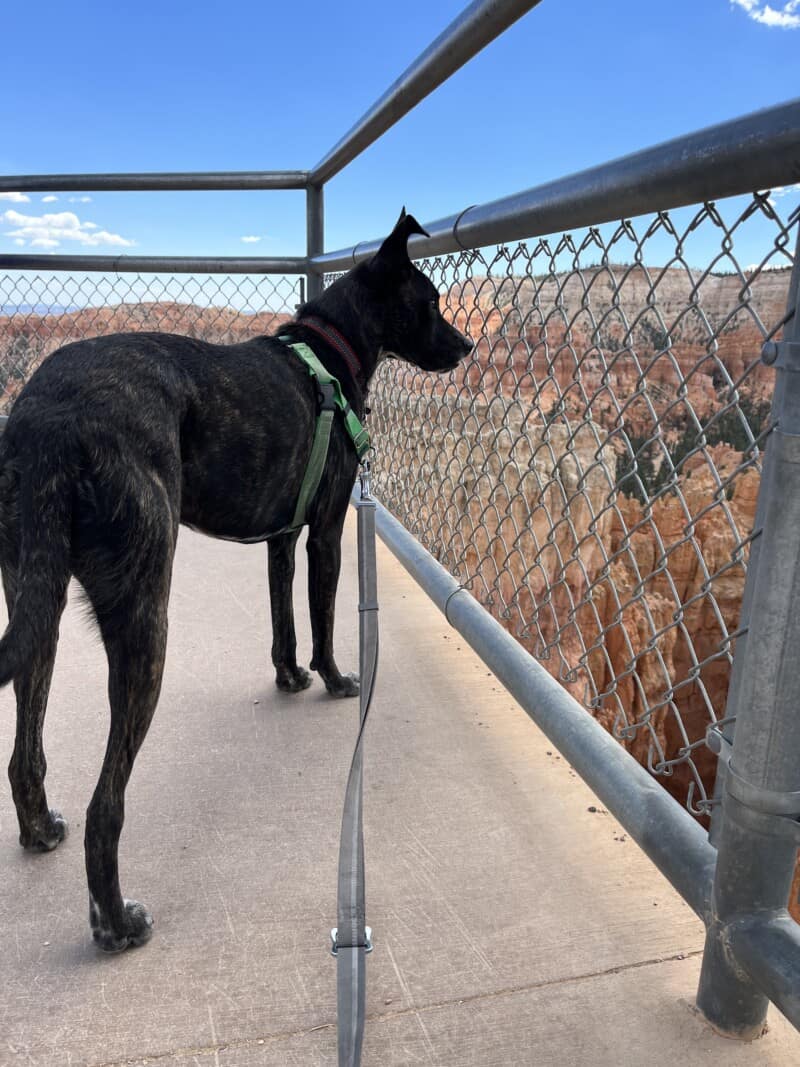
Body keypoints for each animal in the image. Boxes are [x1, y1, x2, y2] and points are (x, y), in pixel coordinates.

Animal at [0, 208, 473, 951]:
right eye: (429, 302)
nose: (469, 346)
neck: (328, 349)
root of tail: (47, 424)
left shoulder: (280, 537)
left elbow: (283, 620)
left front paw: (289, 677)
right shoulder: (326, 531)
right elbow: (323, 616)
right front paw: (335, 679)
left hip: (32, 599)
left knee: (24, 753)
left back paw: (41, 827)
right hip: (145, 618)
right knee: (108, 804)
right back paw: (117, 920)